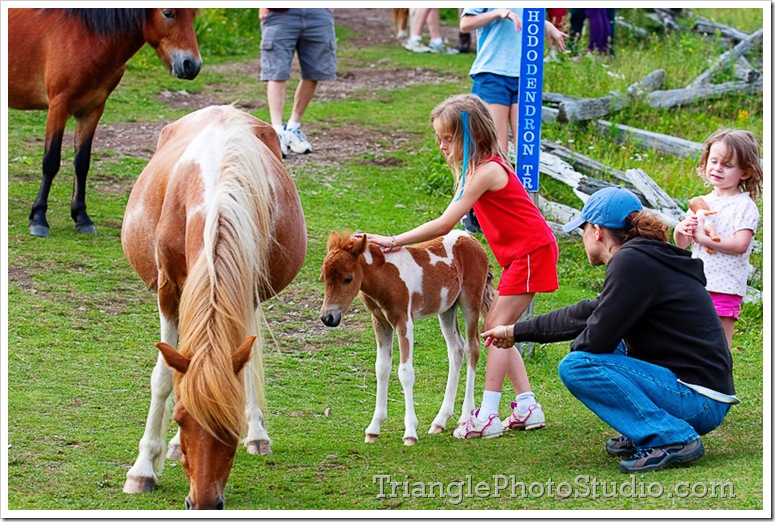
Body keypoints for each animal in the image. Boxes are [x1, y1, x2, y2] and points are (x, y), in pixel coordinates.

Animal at [8, 9, 202, 237]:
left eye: (193, 14)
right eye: (168, 13)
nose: (192, 65)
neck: (85, 36)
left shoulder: (92, 110)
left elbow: (82, 162)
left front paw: (82, 218)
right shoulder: (58, 107)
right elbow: (51, 161)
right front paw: (39, 218)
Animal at [121, 105, 306, 508]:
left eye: (231, 424)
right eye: (179, 418)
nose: (204, 502)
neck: (215, 198)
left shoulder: (246, 288)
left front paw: (253, 431)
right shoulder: (169, 292)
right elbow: (164, 376)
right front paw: (143, 469)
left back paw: (258, 434)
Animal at [320, 229, 492, 442]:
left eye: (348, 278)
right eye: (323, 278)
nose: (328, 317)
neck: (385, 277)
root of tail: (470, 238)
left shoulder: (404, 321)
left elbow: (405, 372)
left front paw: (410, 432)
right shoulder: (380, 322)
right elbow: (382, 368)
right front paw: (374, 428)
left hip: (470, 301)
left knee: (472, 348)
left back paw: (465, 416)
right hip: (447, 308)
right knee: (456, 350)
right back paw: (440, 420)